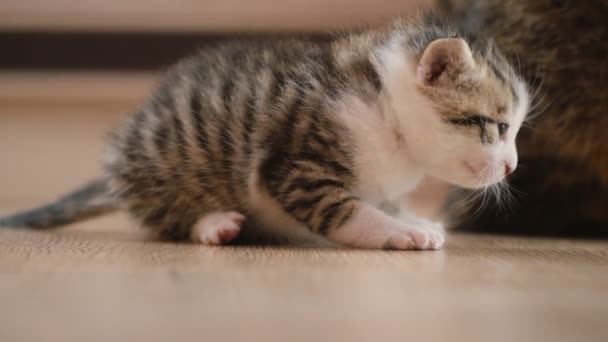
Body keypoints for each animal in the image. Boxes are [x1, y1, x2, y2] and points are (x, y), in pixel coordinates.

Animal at [0, 16, 528, 248]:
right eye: (499, 127)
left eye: (515, 131)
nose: (512, 166)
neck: (388, 113)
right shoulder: (297, 167)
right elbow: (348, 211)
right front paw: (399, 231)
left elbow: (378, 199)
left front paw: (411, 217)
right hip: (166, 163)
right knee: (164, 216)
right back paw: (212, 223)